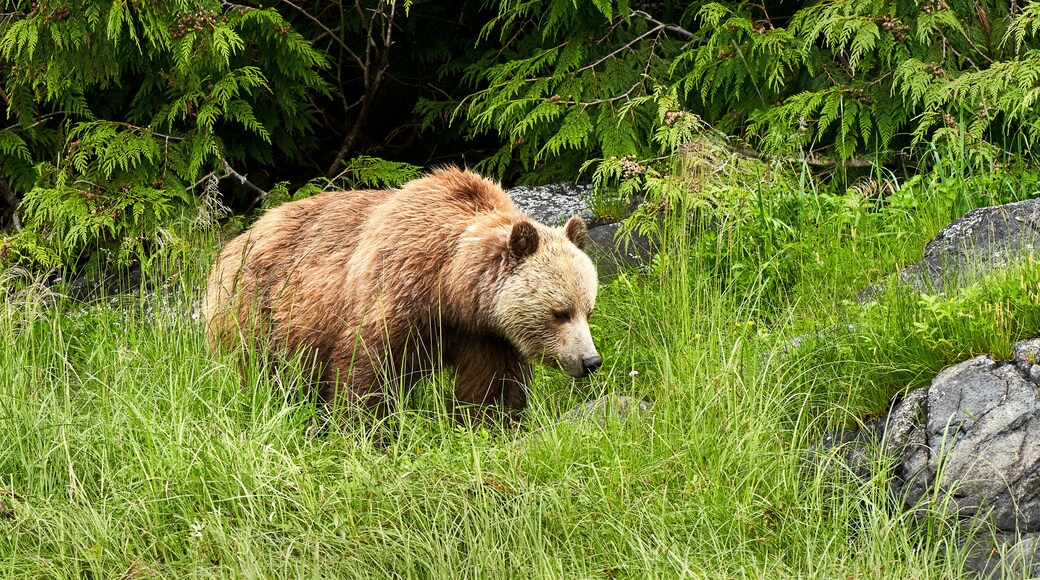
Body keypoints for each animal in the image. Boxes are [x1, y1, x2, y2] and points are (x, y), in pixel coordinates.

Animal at [203, 167, 602, 425]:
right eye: (560, 312)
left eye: (588, 310)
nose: (590, 361)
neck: (450, 288)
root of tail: (238, 238)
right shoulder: (398, 291)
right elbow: (369, 367)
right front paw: (365, 427)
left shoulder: (487, 334)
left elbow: (491, 386)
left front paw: (492, 424)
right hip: (259, 305)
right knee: (262, 371)